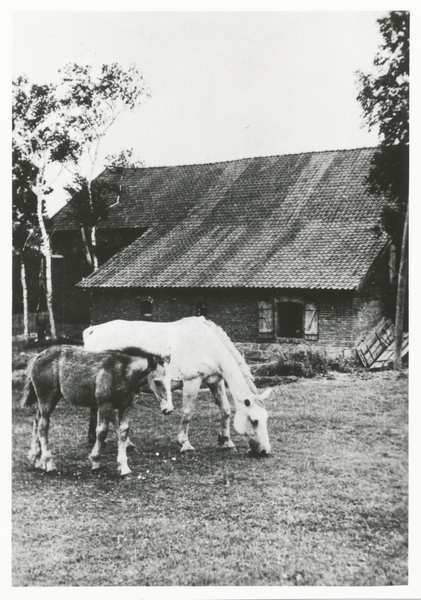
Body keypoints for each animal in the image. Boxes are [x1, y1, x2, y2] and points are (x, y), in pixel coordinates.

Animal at [83, 316, 270, 452]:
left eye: (265, 418)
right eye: (254, 421)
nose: (264, 451)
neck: (208, 344)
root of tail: (94, 330)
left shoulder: (216, 382)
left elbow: (225, 410)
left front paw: (226, 441)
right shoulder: (192, 382)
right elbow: (187, 413)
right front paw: (184, 443)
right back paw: (124, 442)